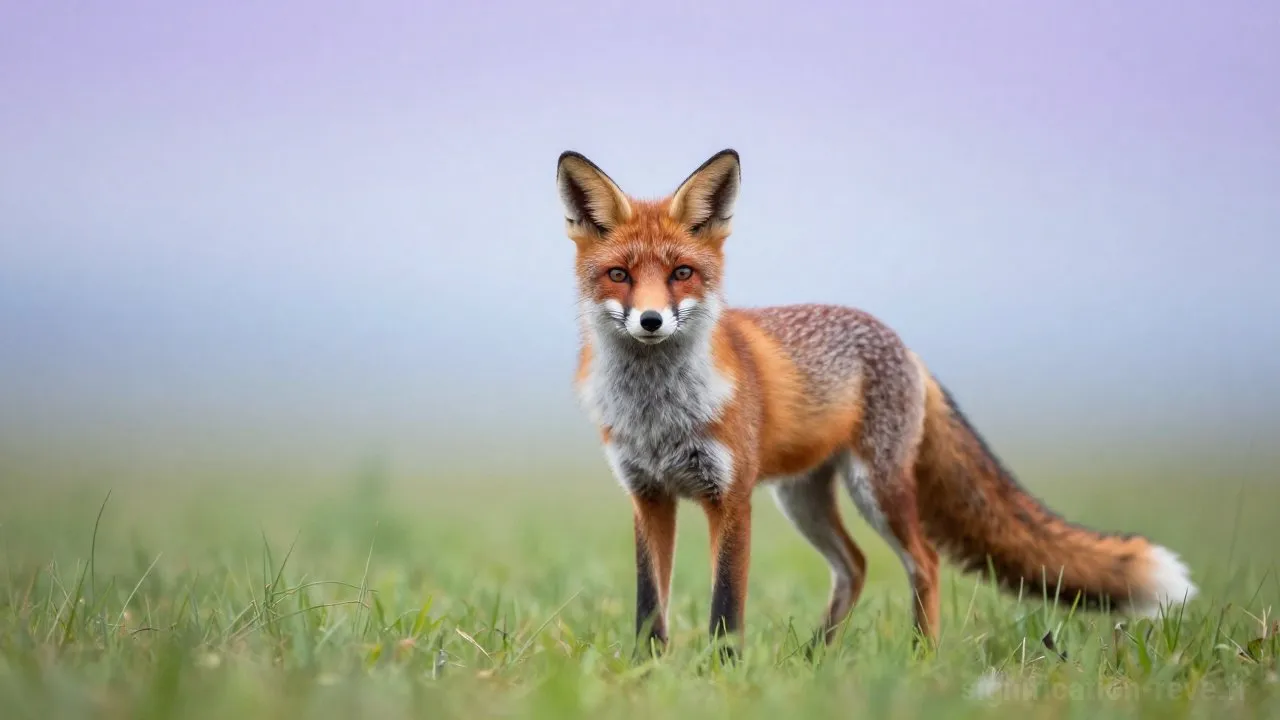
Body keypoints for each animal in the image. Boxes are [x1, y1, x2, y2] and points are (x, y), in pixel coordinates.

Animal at [556, 148, 1197, 655]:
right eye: (619, 275)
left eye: (682, 273)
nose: (651, 320)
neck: (658, 413)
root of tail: (904, 345)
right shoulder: (648, 496)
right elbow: (649, 605)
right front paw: (648, 671)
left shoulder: (730, 499)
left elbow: (724, 607)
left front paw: (722, 674)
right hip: (804, 498)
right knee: (855, 566)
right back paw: (815, 657)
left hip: (877, 489)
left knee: (924, 562)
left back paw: (920, 659)